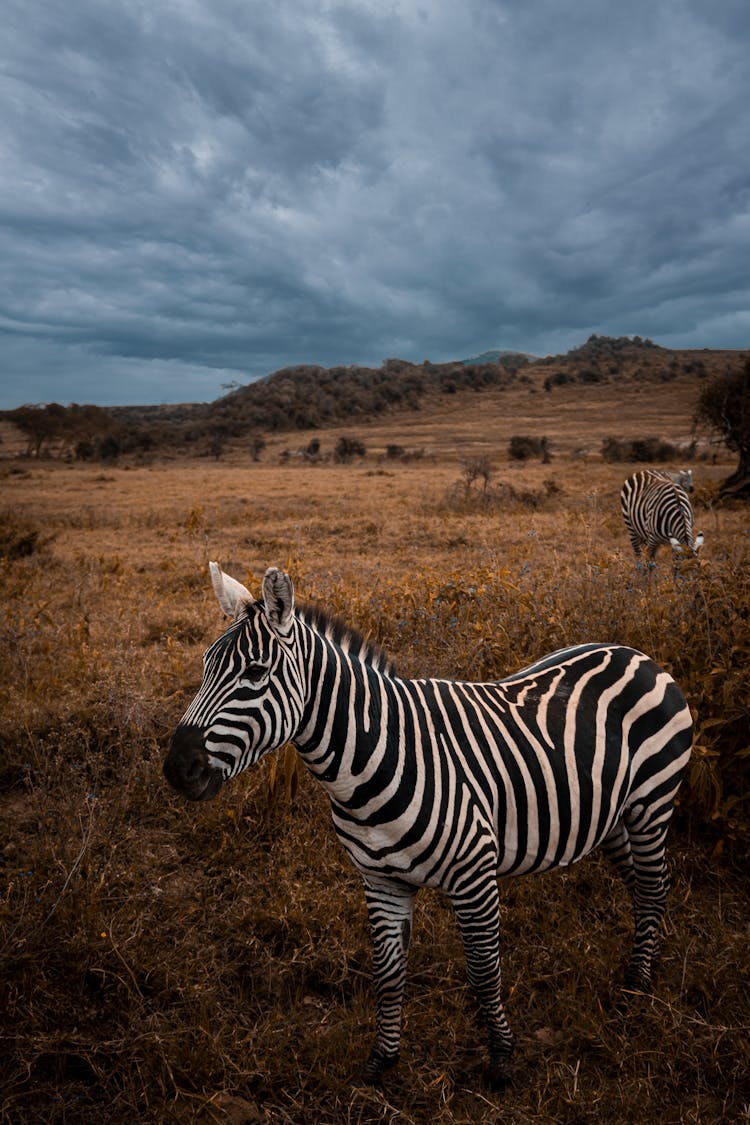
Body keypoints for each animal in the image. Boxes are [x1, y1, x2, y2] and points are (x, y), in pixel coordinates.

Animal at [167, 562, 697, 1089]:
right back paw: (644, 967)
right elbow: (387, 973)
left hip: (650, 803)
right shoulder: (380, 880)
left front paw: (501, 1058)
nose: (177, 768)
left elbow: (482, 969)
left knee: (653, 885)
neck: (371, 758)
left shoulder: (474, 872)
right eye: (205, 666)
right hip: (611, 817)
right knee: (643, 886)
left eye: (255, 673)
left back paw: (636, 989)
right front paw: (382, 1061)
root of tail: (637, 653)